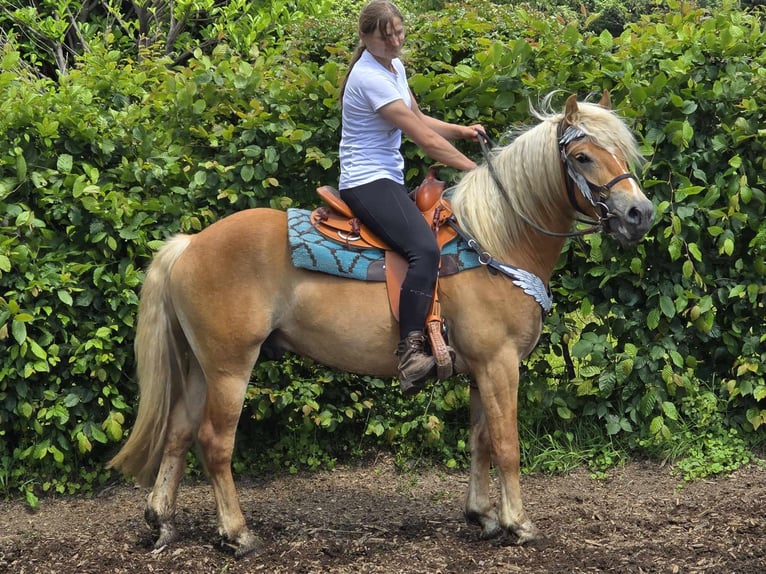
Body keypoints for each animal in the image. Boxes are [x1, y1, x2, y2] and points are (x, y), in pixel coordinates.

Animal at [111, 93, 656, 560]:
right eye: (582, 157)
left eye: (622, 151)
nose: (639, 213)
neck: (496, 241)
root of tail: (190, 244)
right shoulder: (499, 363)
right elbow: (507, 446)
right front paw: (517, 524)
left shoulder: (480, 369)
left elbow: (480, 440)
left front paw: (483, 516)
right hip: (229, 366)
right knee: (214, 443)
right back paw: (236, 534)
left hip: (201, 365)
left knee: (179, 432)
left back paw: (162, 521)